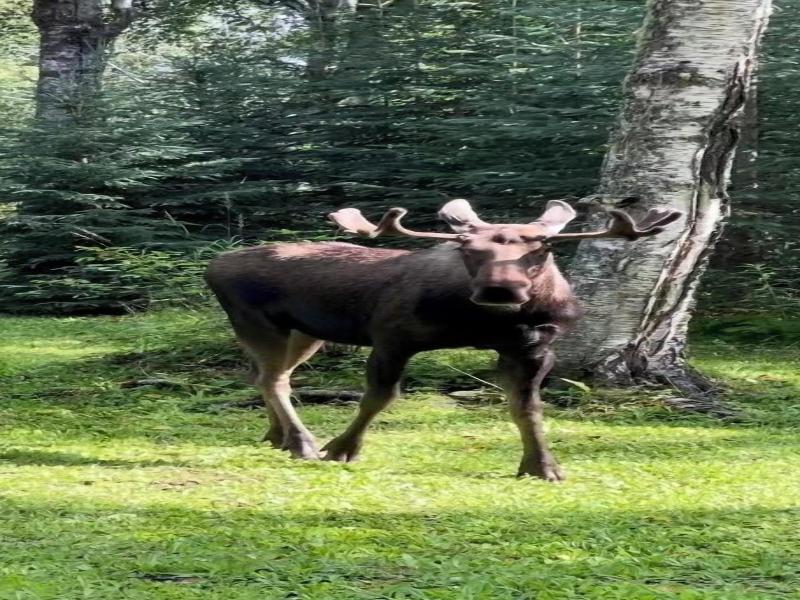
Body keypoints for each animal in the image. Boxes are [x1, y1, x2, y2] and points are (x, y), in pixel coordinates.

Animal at [205, 199, 681, 481]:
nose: (500, 289)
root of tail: (213, 266)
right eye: (468, 249)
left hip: (305, 333)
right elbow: (380, 397)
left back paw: (279, 436)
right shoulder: (391, 335)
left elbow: (526, 409)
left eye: (540, 248)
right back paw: (302, 442)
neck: (479, 323)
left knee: (265, 376)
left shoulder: (533, 348)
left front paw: (542, 467)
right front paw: (340, 449)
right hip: (256, 321)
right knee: (273, 379)